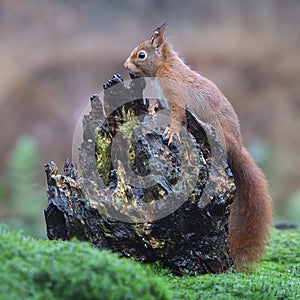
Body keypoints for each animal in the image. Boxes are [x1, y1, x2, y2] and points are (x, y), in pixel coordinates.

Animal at [123, 24, 272, 272]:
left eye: (141, 55)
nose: (125, 66)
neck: (163, 68)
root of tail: (236, 147)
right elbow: (160, 104)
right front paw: (152, 109)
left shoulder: (175, 95)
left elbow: (177, 115)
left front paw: (172, 132)